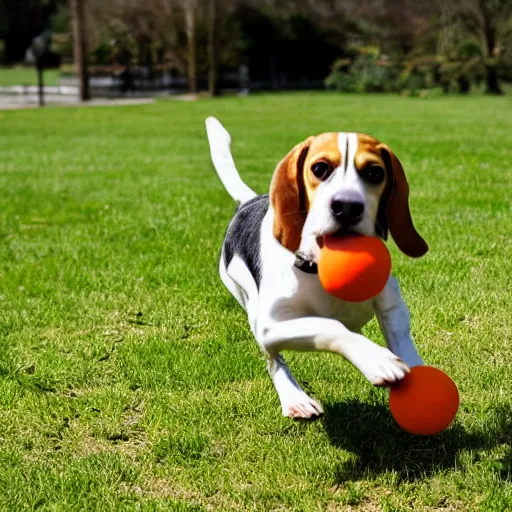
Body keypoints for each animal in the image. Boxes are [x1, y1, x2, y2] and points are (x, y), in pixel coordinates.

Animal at [205, 118, 428, 418]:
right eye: (320, 168)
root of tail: (248, 201)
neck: (317, 265)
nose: (347, 206)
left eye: (374, 172)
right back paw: (294, 397)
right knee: (274, 360)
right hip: (251, 309)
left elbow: (404, 345)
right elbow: (331, 325)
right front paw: (376, 360)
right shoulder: (271, 326)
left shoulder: (393, 308)